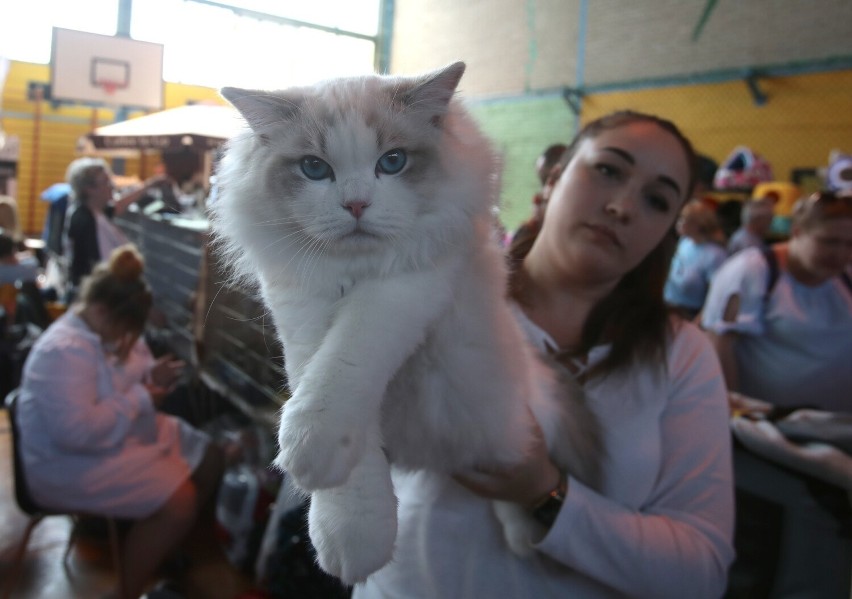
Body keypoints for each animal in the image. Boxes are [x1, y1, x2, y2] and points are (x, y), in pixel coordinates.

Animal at [210, 62, 604, 584]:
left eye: (392, 162)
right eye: (314, 168)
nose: (356, 205)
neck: (354, 272)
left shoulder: (405, 287)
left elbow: (343, 367)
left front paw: (310, 449)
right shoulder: (300, 308)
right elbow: (326, 393)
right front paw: (347, 529)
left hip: (501, 420)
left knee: (515, 468)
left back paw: (524, 539)